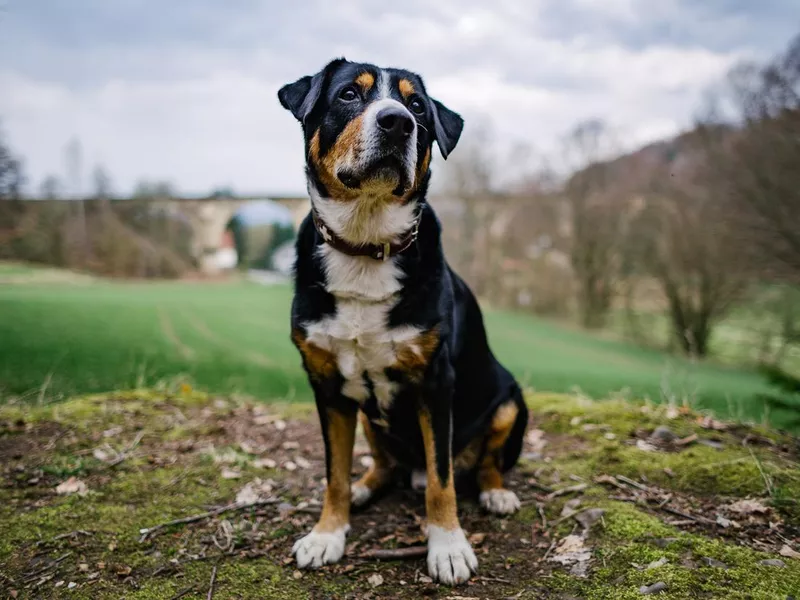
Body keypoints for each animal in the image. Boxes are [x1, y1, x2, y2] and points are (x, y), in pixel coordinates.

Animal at [278, 58, 528, 584]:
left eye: (417, 106)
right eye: (349, 94)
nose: (398, 122)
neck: (365, 245)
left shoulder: (436, 382)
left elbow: (441, 478)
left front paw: (448, 546)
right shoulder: (326, 384)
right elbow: (333, 472)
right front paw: (328, 533)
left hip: (509, 400)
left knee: (483, 463)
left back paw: (495, 491)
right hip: (366, 413)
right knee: (382, 461)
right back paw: (365, 486)